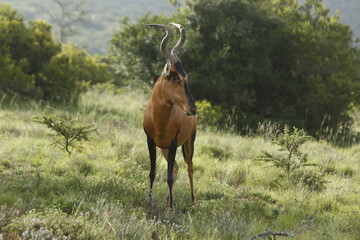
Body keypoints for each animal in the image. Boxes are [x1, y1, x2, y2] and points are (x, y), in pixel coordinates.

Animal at [144, 22, 197, 207]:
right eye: (175, 77)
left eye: (186, 76)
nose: (192, 109)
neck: (159, 119)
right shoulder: (151, 141)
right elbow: (153, 172)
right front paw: (149, 202)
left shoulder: (174, 143)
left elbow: (168, 177)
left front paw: (172, 207)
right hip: (164, 149)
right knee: (175, 167)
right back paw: (167, 200)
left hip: (189, 142)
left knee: (189, 167)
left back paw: (192, 200)